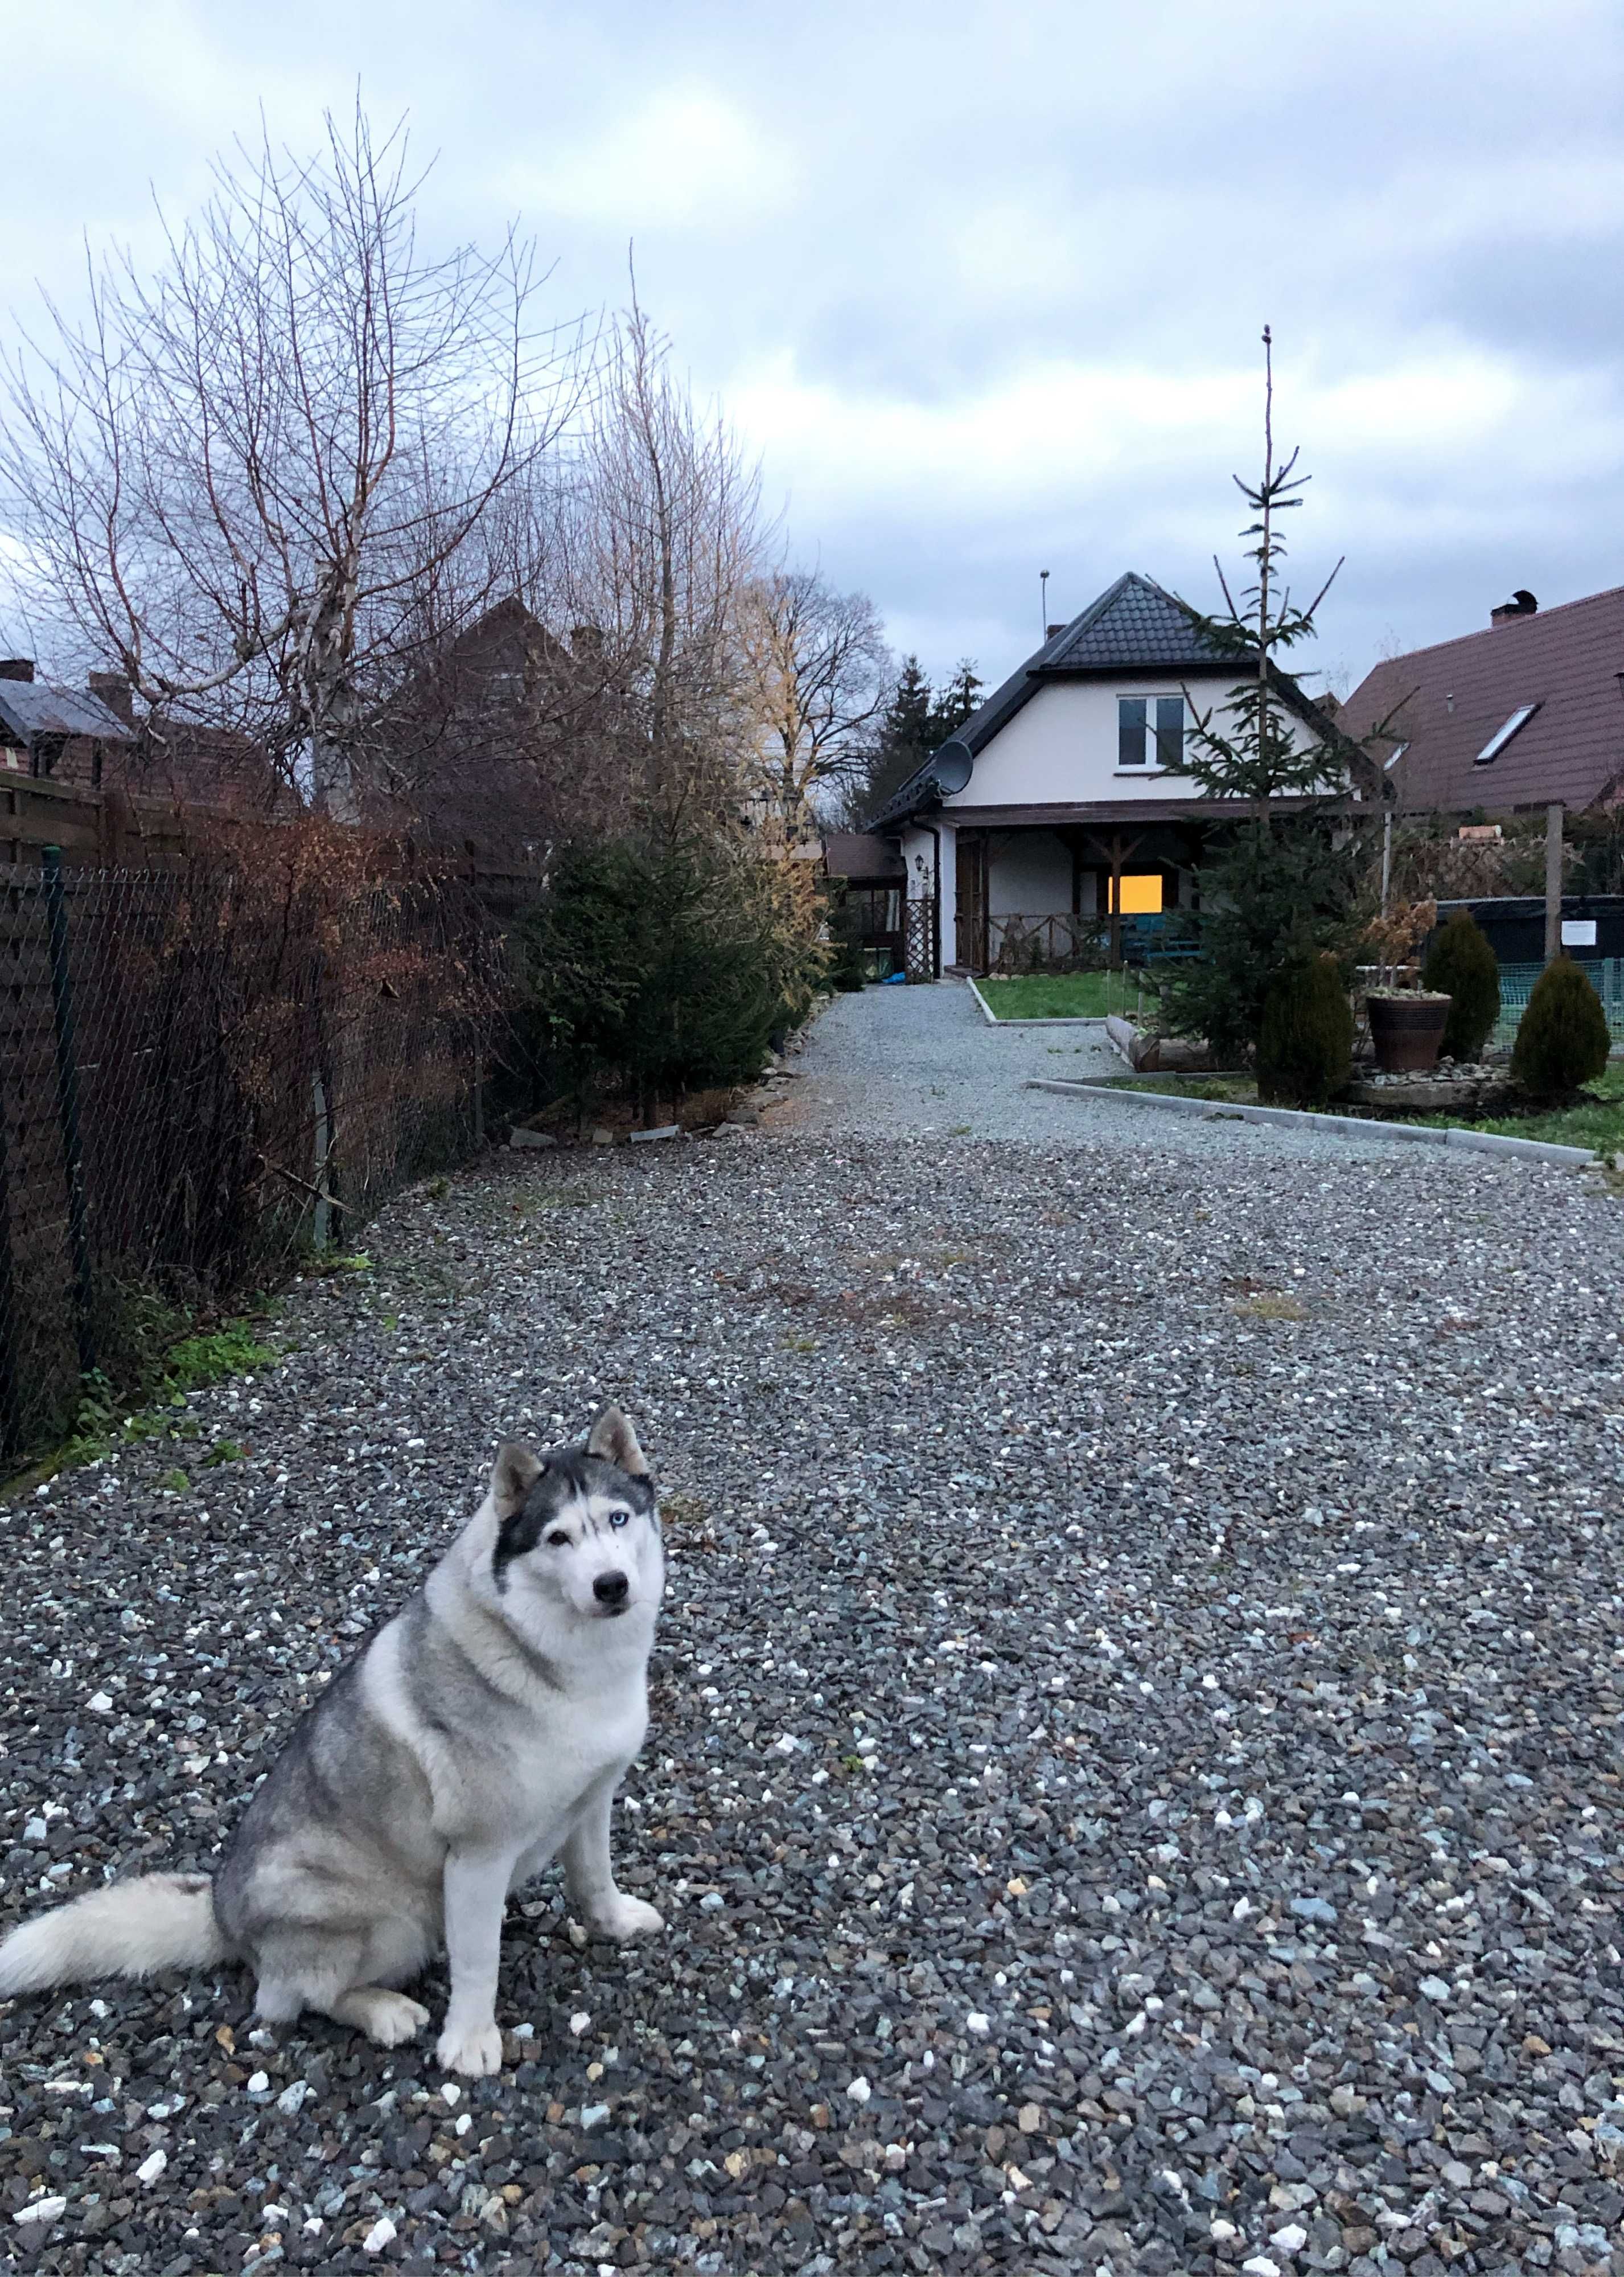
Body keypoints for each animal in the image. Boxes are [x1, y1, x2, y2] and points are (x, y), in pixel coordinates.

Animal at [0, 1393, 665, 2077]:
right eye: (558, 1537)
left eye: (617, 1518)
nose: (612, 1584)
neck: (555, 1657)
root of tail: (221, 1914)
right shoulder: (478, 1854)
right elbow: (480, 1962)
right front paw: (471, 2041)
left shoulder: (590, 1800)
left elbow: (594, 1875)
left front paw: (613, 1921)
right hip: (393, 1920)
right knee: (291, 1998)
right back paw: (381, 2010)